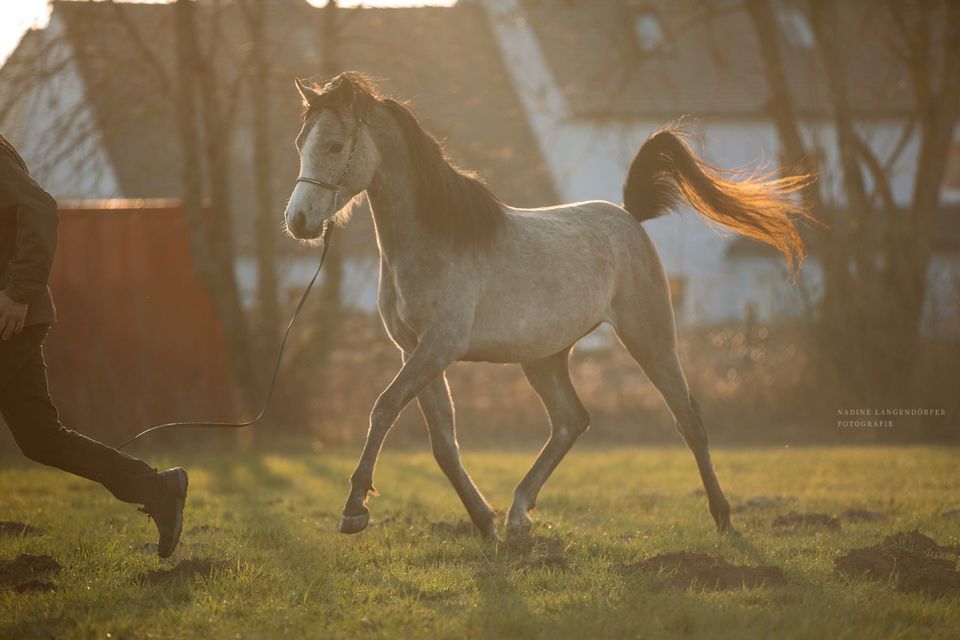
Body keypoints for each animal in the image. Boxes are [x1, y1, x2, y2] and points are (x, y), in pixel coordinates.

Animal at [284, 71, 808, 540]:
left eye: (335, 146)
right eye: (301, 144)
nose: (299, 221)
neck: (433, 237)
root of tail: (629, 218)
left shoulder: (438, 347)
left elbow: (385, 407)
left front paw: (355, 509)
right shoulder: (414, 350)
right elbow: (442, 444)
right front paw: (484, 523)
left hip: (650, 338)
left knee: (689, 420)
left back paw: (722, 518)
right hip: (545, 358)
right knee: (571, 421)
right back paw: (518, 515)